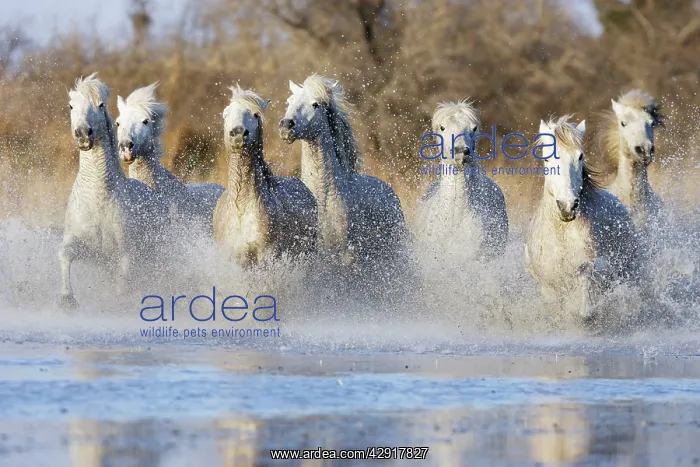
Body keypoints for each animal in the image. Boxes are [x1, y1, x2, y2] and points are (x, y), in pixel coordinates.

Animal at [58, 73, 168, 309]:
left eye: (100, 105)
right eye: (71, 105)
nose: (83, 134)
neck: (98, 198)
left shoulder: (125, 253)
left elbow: (123, 283)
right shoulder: (87, 248)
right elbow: (64, 254)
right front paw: (67, 299)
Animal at [525, 116, 643, 325]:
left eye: (580, 156)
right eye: (547, 158)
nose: (567, 206)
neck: (561, 233)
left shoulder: (587, 271)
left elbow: (585, 309)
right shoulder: (549, 286)